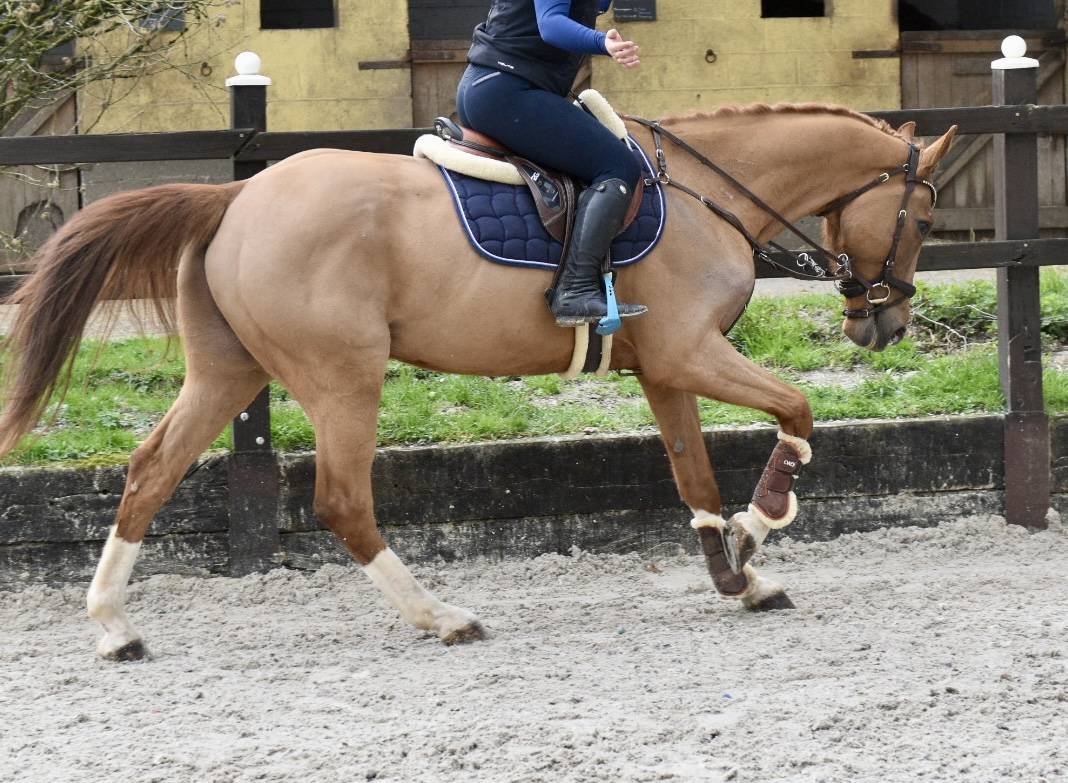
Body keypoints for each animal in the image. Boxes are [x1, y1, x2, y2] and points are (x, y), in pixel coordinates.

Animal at [0, 103, 956, 660]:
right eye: (926, 212)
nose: (885, 324)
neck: (702, 192)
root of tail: (235, 199)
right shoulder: (691, 353)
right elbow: (798, 409)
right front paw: (761, 529)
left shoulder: (666, 368)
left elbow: (693, 477)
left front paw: (738, 578)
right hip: (344, 375)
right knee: (342, 499)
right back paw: (442, 616)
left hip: (229, 372)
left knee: (150, 471)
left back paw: (115, 625)